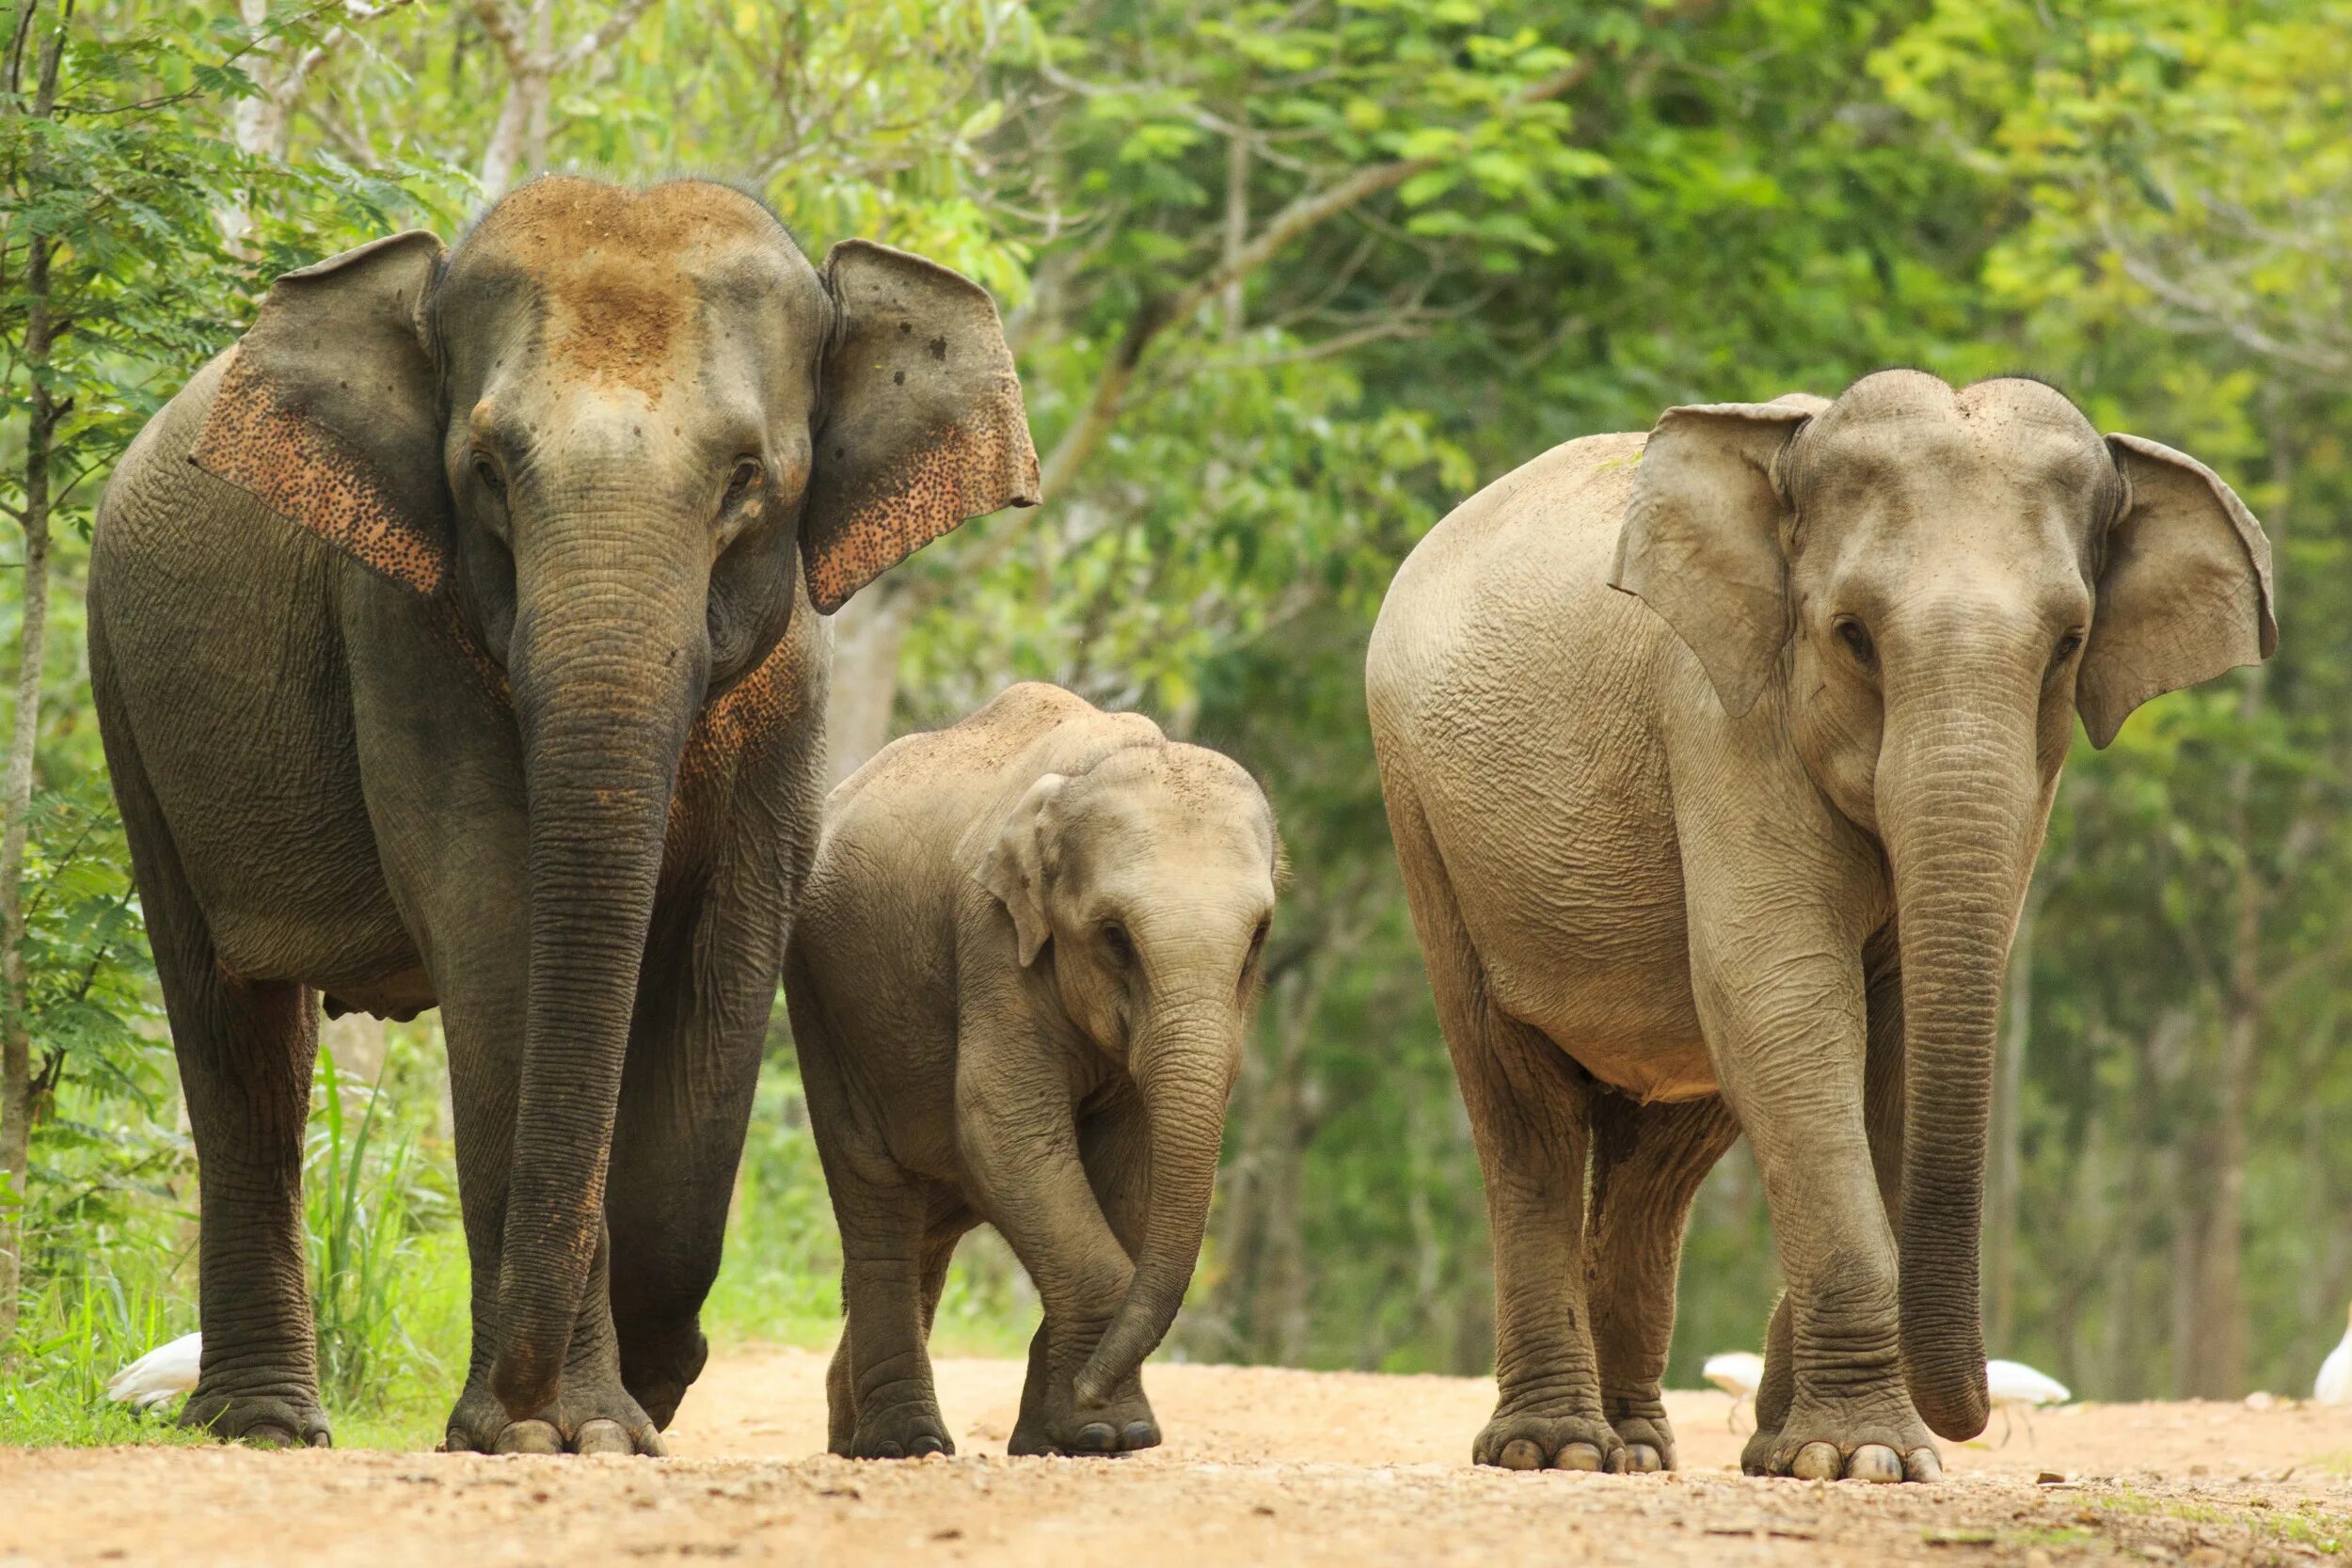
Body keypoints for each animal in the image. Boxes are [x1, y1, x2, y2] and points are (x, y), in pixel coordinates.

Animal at [87, 177, 1040, 1457]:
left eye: (748, 475)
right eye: (488, 468)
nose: (512, 1403)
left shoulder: (794, 675)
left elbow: (727, 956)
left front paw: (637, 1392)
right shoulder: (398, 621)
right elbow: (495, 920)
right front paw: (562, 1428)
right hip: (127, 697)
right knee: (233, 1024)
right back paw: (264, 1425)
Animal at [781, 686, 1279, 1457]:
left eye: (1258, 937)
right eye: (1114, 936)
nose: (1095, 1388)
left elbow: (1130, 1170)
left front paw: (1075, 1436)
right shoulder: (993, 941)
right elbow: (1003, 1128)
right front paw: (1111, 1429)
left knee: (929, 1220)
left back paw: (853, 1435)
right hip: (821, 997)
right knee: (876, 1191)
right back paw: (905, 1444)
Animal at [1374, 369, 2267, 1485]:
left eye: (2068, 643)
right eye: (1852, 634)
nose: (1979, 1409)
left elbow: (1888, 1034)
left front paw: (1803, 1451)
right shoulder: (1719, 714)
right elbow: (1781, 991)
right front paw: (1859, 1457)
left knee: (1662, 1155)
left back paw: (1638, 1448)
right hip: (1424, 819)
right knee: (1520, 1105)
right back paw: (1558, 1449)